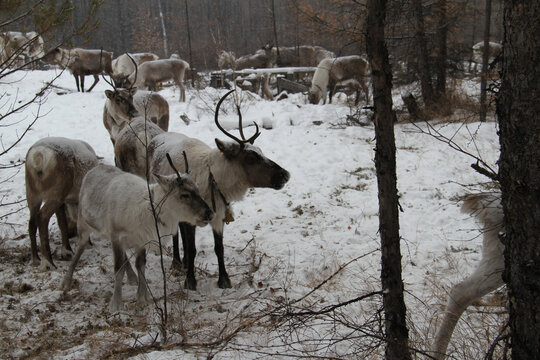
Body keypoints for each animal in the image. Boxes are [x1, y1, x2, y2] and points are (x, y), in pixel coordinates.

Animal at [25, 137, 99, 270]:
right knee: (42, 217)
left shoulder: (63, 203)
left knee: (32, 222)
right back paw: (48, 263)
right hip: (56, 193)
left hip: (32, 193)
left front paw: (67, 251)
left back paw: (35, 259)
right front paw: (87, 244)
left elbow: (62, 223)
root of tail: (38, 156)